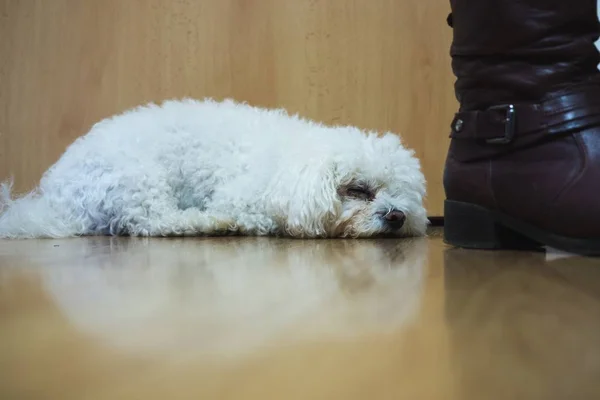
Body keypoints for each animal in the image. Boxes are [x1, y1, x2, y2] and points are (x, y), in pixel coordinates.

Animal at [1, 98, 432, 239]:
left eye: (403, 194)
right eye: (357, 189)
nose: (397, 216)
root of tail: (55, 199)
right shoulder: (242, 198)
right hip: (137, 179)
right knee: (155, 222)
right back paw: (212, 222)